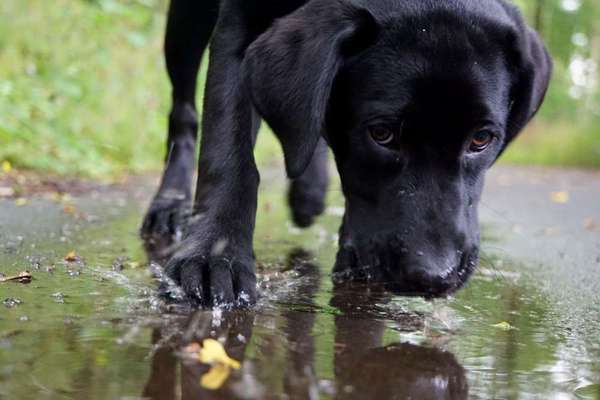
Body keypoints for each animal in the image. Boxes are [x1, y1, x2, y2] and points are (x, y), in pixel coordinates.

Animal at [142, 0, 552, 308]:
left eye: (481, 139)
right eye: (381, 133)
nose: (434, 276)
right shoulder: (238, 20)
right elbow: (228, 147)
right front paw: (214, 254)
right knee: (184, 113)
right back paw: (170, 204)